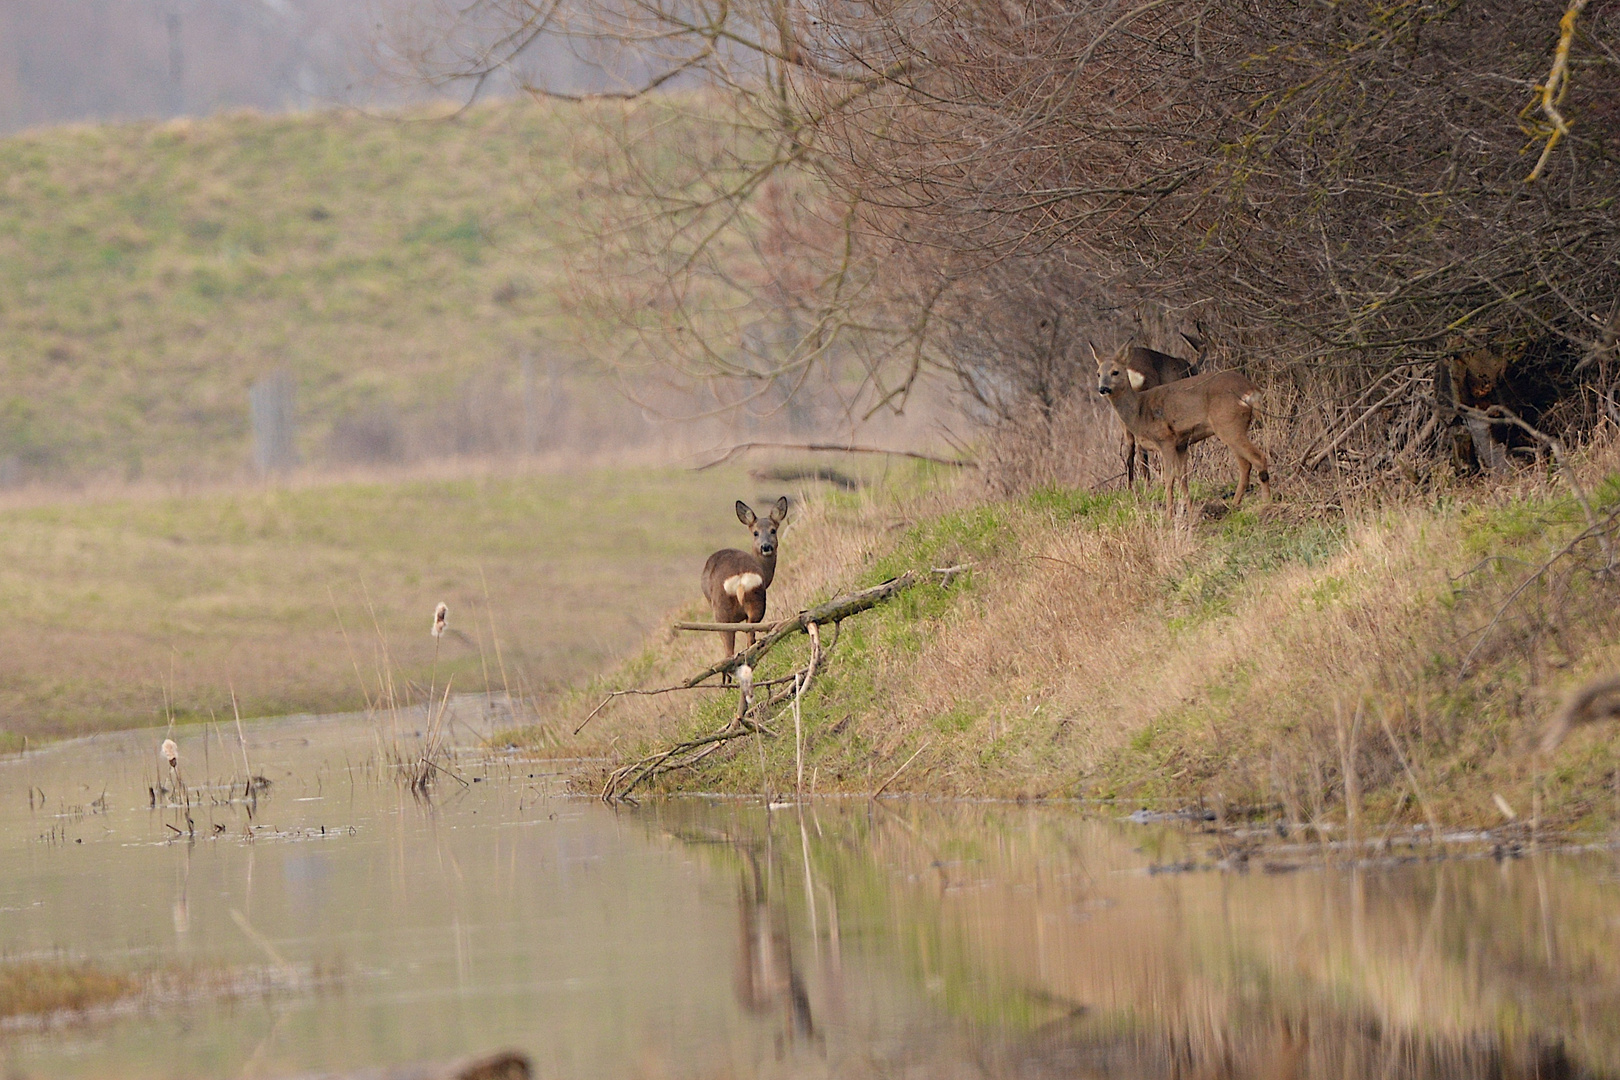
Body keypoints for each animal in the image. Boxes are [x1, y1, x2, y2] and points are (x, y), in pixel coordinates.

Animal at [703, 495, 790, 660]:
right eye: (755, 532)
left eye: (773, 530)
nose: (766, 546)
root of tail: (740, 579)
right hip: (756, 603)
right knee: (751, 638)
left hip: (721, 612)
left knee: (729, 650)